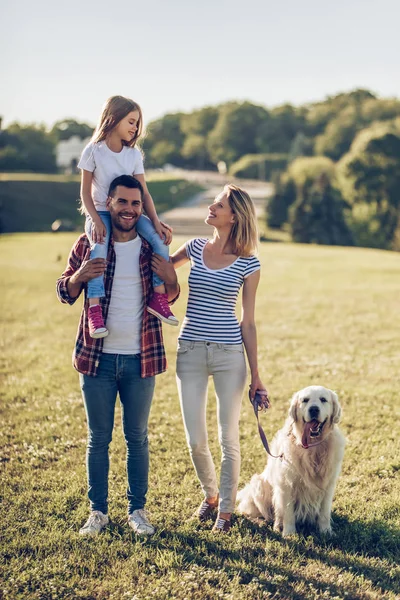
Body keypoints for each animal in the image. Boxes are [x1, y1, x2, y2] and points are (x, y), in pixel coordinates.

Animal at [236, 386, 346, 536]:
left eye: (323, 399)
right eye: (305, 400)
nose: (313, 409)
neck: (312, 447)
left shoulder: (328, 484)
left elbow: (324, 512)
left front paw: (326, 531)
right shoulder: (287, 484)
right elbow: (288, 512)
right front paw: (289, 533)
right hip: (258, 484)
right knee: (260, 513)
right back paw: (269, 524)